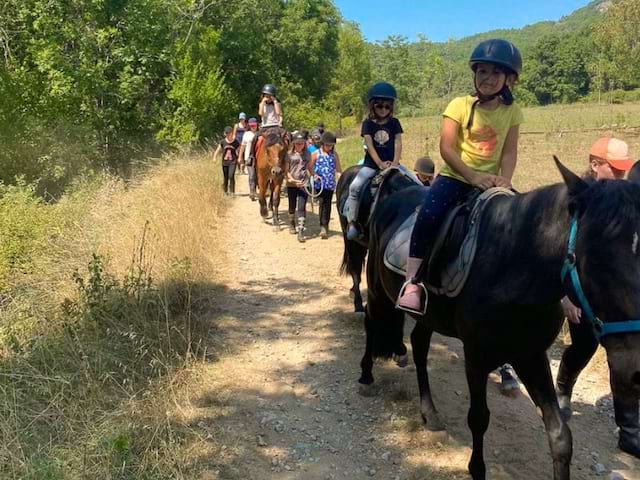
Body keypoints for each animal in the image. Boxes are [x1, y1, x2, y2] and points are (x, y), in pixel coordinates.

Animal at [358, 158, 640, 480]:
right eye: (594, 256)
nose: (636, 372)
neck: (513, 260)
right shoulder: (476, 356)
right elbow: (479, 418)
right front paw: (476, 468)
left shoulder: (530, 355)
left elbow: (560, 436)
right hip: (377, 287)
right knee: (371, 321)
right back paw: (366, 376)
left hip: (428, 315)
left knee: (418, 344)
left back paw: (429, 412)